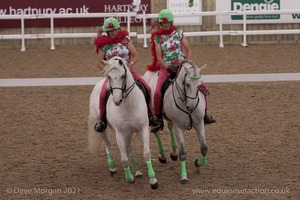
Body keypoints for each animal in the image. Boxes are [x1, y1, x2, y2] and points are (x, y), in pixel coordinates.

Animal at [88, 55, 158, 189]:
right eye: (109, 77)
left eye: (122, 76)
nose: (117, 100)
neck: (128, 104)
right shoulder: (119, 133)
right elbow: (124, 159)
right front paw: (129, 178)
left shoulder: (143, 129)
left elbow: (146, 153)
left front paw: (153, 180)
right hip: (101, 126)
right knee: (107, 144)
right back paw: (112, 168)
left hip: (129, 132)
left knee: (128, 148)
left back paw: (137, 172)